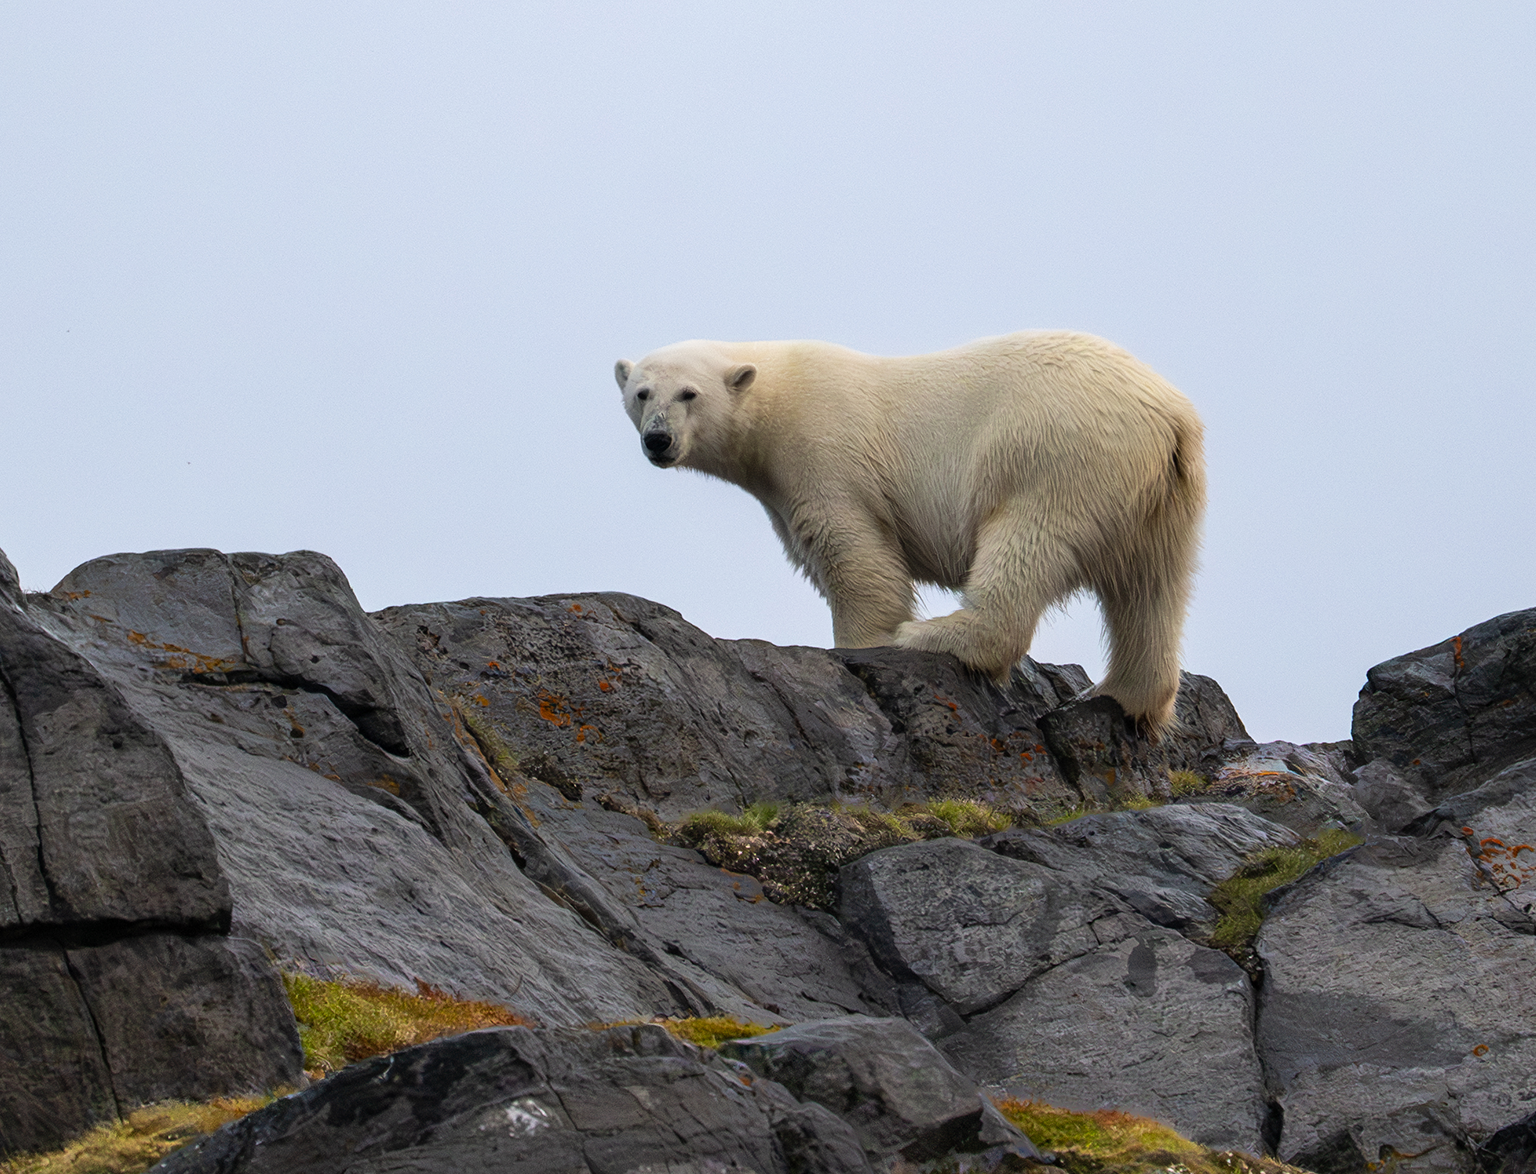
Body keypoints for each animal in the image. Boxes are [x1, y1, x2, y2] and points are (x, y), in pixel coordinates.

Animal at [613, 330, 1205, 738]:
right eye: (642, 393)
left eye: (689, 394)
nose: (658, 440)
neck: (775, 400)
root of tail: (1168, 415)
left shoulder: (824, 455)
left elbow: (855, 557)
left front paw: (866, 644)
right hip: (1164, 498)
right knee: (1152, 587)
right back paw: (1125, 695)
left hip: (1055, 453)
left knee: (1026, 543)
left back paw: (935, 636)